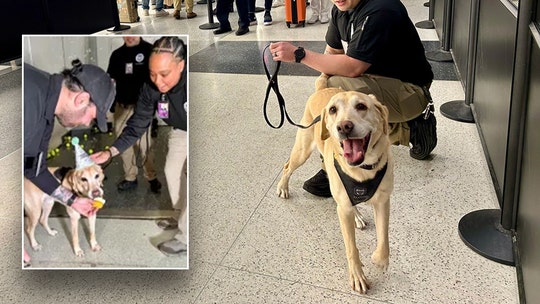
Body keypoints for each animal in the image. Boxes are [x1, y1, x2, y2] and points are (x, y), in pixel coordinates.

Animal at [276, 85, 394, 292]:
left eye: (361, 106)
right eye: (333, 110)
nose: (343, 127)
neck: (362, 170)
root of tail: (324, 87)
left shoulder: (383, 202)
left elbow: (384, 236)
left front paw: (380, 259)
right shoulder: (344, 210)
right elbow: (351, 248)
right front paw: (357, 276)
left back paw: (357, 216)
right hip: (302, 151)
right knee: (287, 166)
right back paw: (283, 187)